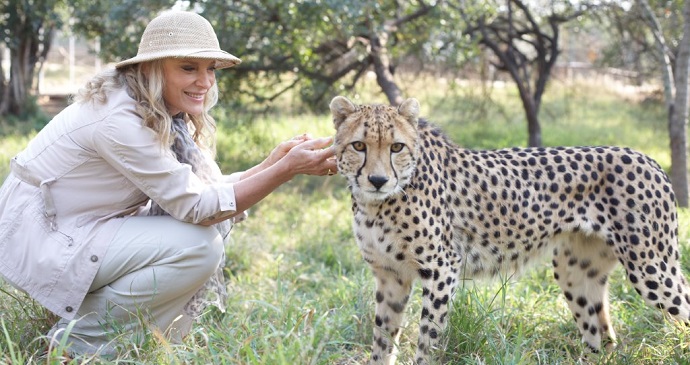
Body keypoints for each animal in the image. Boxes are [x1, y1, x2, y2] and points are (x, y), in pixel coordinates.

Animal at [326, 95, 688, 362]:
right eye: (359, 146)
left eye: (397, 147)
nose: (377, 179)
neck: (379, 203)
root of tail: (647, 158)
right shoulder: (391, 275)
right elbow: (382, 339)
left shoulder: (442, 269)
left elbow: (428, 339)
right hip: (576, 271)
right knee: (602, 337)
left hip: (651, 269)